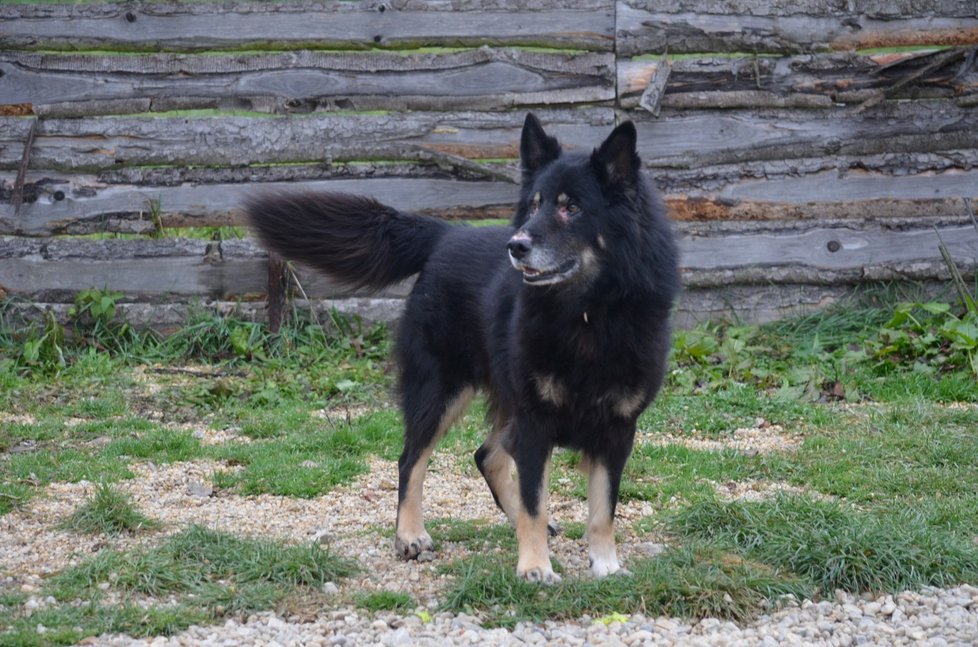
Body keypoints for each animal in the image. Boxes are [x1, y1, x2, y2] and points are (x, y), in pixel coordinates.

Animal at [244, 114, 676, 584]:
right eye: (534, 205)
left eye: (572, 208)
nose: (516, 245)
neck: (587, 313)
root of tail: (445, 234)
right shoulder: (535, 422)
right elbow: (535, 502)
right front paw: (535, 566)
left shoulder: (617, 430)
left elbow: (602, 509)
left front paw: (606, 565)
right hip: (440, 390)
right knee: (411, 459)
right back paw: (410, 535)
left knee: (486, 456)